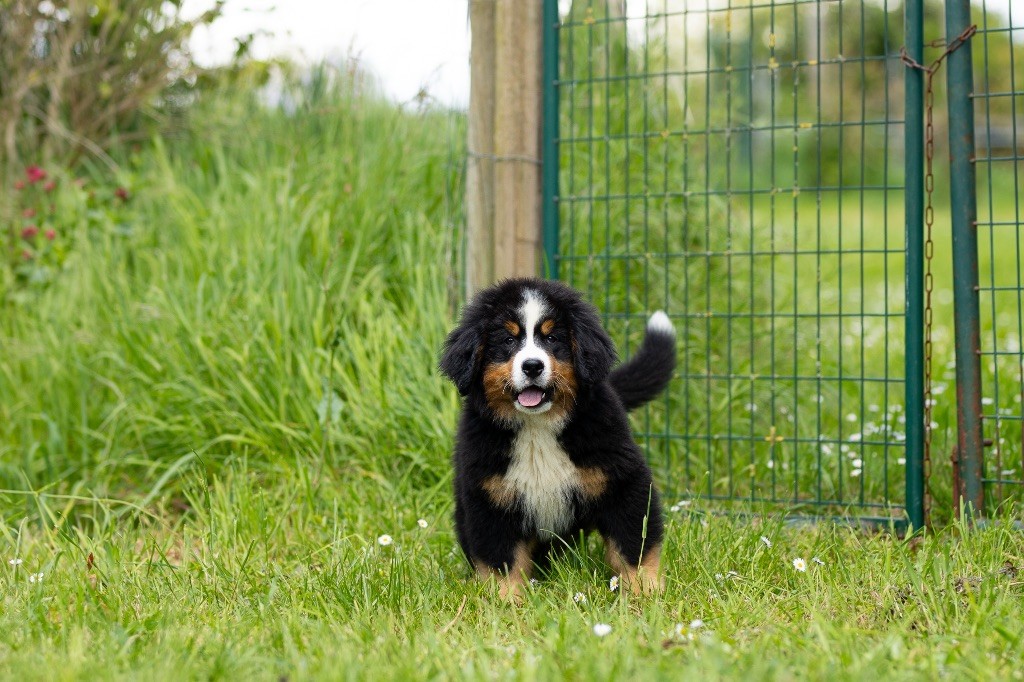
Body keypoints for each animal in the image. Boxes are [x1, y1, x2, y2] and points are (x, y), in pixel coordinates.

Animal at [439, 277, 676, 599]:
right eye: (508, 341)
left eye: (552, 339)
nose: (532, 366)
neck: (537, 428)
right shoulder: (491, 497)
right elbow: (502, 560)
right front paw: (507, 600)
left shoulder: (624, 481)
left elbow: (632, 544)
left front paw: (644, 590)